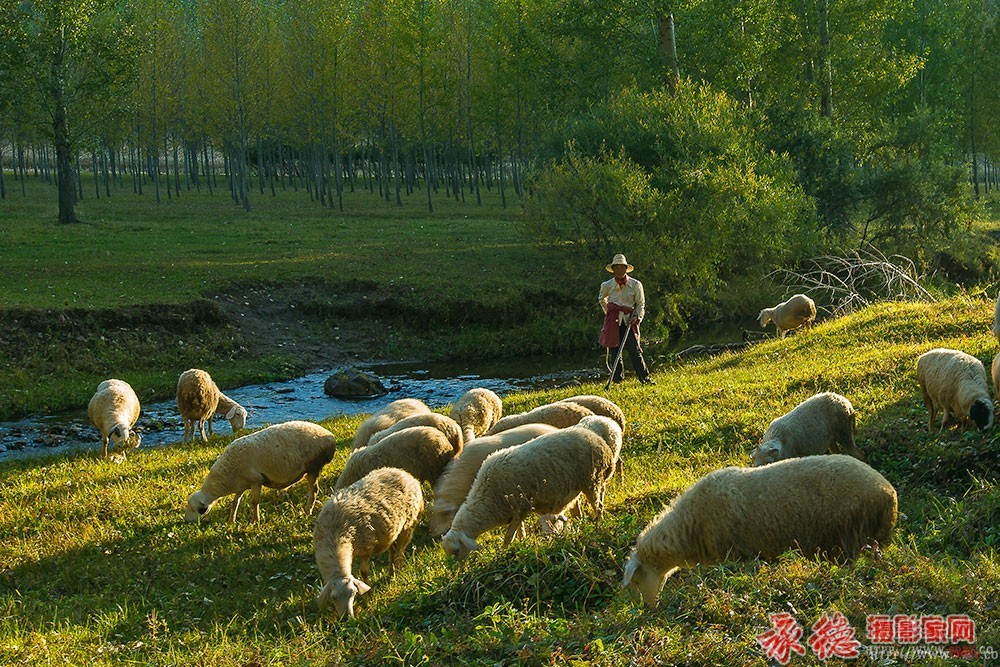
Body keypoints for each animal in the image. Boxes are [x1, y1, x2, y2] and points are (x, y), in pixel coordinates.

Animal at [187, 420, 340, 524]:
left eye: (200, 509)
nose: (189, 522)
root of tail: (330, 437)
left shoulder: (256, 481)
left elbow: (254, 502)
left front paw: (255, 521)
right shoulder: (241, 485)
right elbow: (235, 502)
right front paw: (231, 521)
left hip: (313, 466)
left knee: (314, 489)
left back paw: (307, 511)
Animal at [312, 468, 422, 620]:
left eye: (353, 594)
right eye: (333, 598)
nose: (347, 618)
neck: (335, 536)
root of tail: (403, 472)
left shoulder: (365, 547)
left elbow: (364, 572)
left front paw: (368, 594)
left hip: (408, 524)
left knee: (400, 551)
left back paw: (397, 571)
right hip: (392, 530)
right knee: (392, 551)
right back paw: (390, 571)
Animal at [444, 420, 620, 560]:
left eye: (456, 551)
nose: (460, 570)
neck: (487, 499)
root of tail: (595, 436)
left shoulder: (520, 507)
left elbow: (509, 537)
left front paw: (505, 551)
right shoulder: (516, 512)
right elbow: (519, 531)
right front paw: (521, 543)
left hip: (592, 479)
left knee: (598, 505)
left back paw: (598, 524)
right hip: (580, 485)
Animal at [624, 456, 900, 608]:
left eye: (636, 580)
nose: (647, 608)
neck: (689, 526)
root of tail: (889, 491)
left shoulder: (737, 555)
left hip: (850, 535)